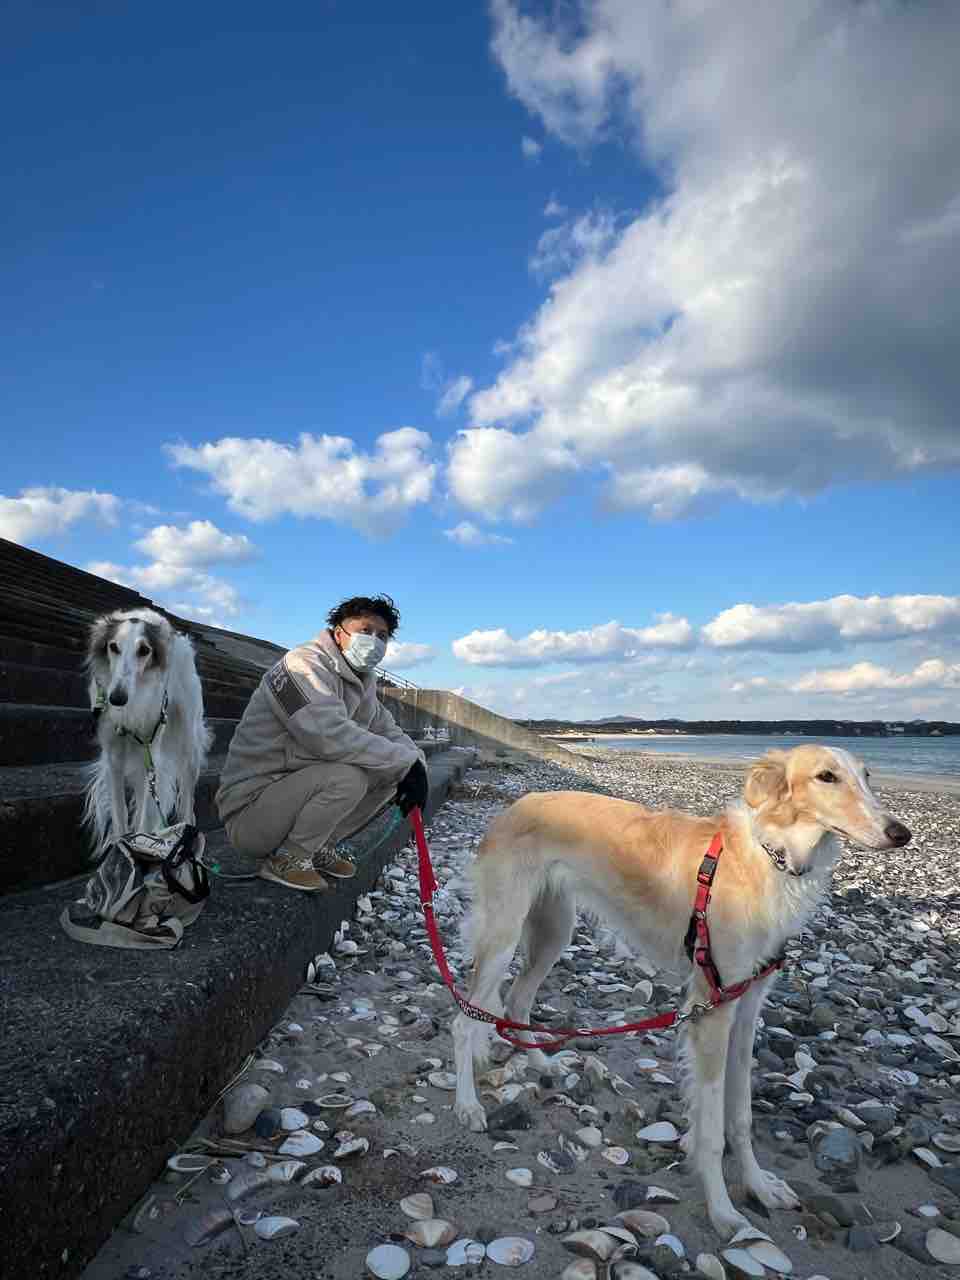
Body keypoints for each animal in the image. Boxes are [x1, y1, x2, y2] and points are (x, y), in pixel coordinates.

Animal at [82, 609, 213, 855]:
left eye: (144, 650)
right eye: (113, 646)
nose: (117, 698)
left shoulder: (151, 750)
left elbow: (144, 815)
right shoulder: (114, 755)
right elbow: (120, 813)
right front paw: (122, 848)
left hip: (187, 745)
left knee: (187, 801)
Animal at [452, 745, 911, 1239]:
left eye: (867, 775)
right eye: (827, 776)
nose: (900, 834)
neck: (766, 859)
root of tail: (513, 806)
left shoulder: (747, 1004)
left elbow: (741, 1114)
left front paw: (759, 1187)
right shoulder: (712, 1007)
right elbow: (710, 1131)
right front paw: (723, 1211)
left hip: (554, 929)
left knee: (517, 1001)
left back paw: (540, 1063)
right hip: (503, 935)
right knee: (464, 1022)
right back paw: (467, 1106)